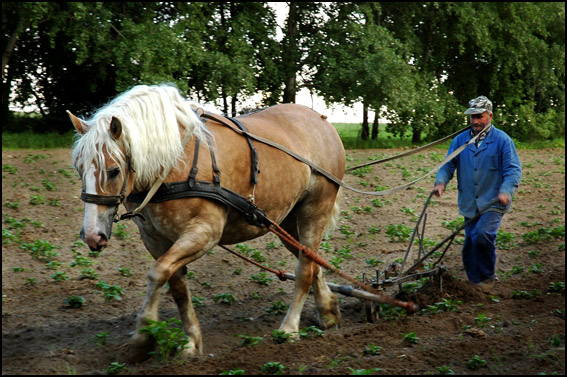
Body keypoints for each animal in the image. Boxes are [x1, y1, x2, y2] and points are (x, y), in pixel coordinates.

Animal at [70, 83, 346, 360]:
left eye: (114, 170)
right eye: (79, 168)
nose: (92, 236)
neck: (174, 163)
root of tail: (322, 120)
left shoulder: (204, 232)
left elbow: (157, 272)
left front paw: (144, 336)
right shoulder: (154, 238)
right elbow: (176, 285)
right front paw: (191, 341)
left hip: (315, 209)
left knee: (304, 270)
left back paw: (289, 328)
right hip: (285, 221)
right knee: (311, 260)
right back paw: (328, 312)